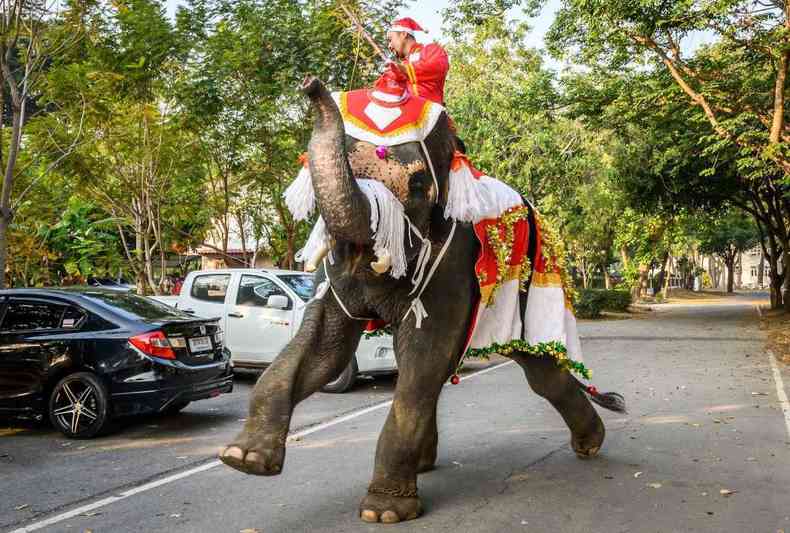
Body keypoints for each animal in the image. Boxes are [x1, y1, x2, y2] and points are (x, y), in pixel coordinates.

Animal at [220, 76, 620, 524]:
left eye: (415, 185)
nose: (311, 83)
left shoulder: (453, 260)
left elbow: (423, 350)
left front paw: (383, 513)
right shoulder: (335, 274)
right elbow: (328, 349)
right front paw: (244, 459)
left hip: (530, 291)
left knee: (539, 373)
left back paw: (590, 445)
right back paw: (426, 464)